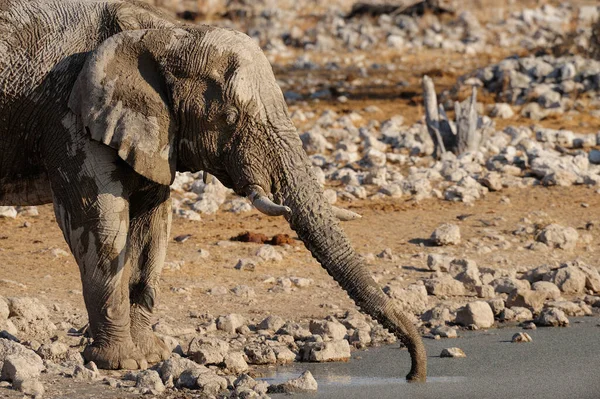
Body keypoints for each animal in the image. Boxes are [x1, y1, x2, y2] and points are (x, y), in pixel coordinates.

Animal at [2, 0, 428, 382]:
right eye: (230, 117)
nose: (413, 375)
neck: (164, 32)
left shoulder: (153, 131)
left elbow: (152, 228)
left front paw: (152, 356)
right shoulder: (68, 116)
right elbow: (102, 223)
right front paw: (123, 363)